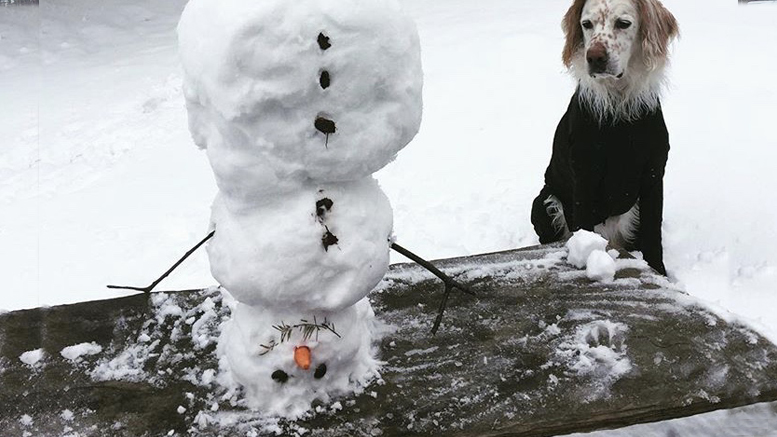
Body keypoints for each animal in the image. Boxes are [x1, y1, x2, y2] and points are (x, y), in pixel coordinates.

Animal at [532, 0, 676, 272]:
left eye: (623, 23)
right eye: (586, 24)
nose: (595, 57)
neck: (618, 108)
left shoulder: (653, 175)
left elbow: (654, 234)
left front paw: (660, 272)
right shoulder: (584, 176)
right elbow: (583, 224)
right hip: (542, 204)